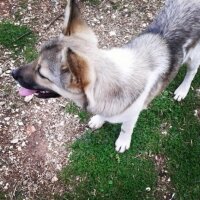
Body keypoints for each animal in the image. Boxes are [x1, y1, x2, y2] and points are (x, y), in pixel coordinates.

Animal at [12, 0, 200, 153]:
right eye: (36, 59)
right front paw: (99, 120)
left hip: (193, 58)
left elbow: (125, 128)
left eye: (41, 74)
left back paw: (182, 90)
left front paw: (123, 141)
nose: (12, 73)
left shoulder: (133, 114)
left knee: (191, 72)